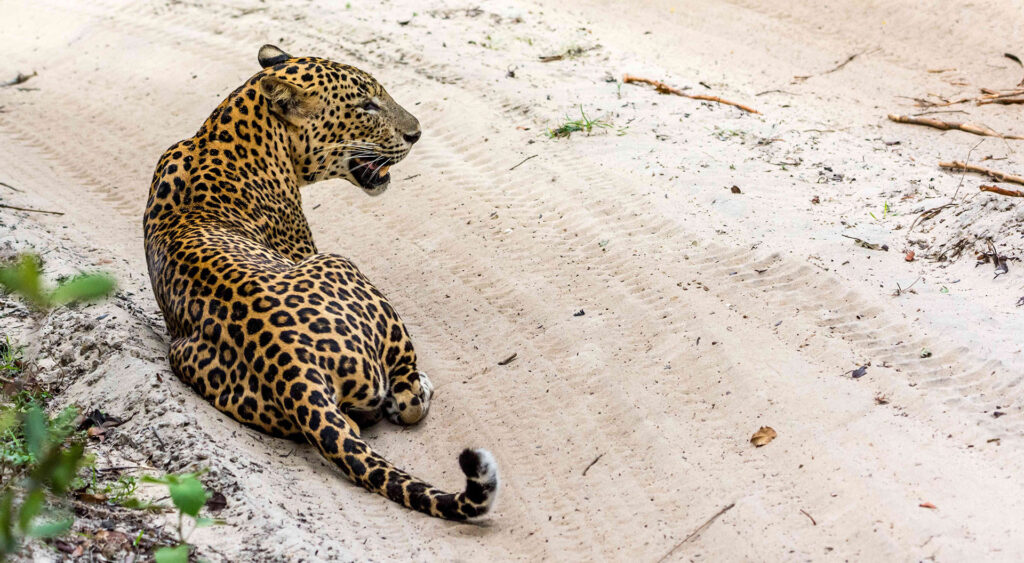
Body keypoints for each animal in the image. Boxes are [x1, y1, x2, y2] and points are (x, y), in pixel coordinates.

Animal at [141, 46, 499, 524]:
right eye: (366, 105)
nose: (416, 133)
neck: (221, 130)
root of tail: (293, 370)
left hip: (185, 354)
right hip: (341, 264)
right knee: (405, 403)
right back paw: (420, 385)